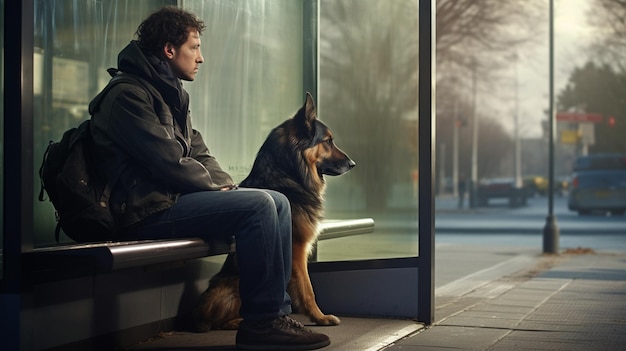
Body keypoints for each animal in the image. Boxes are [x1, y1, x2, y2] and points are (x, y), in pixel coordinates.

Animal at [193, 92, 354, 332]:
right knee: (219, 322)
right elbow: (308, 289)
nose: (353, 163)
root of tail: (197, 313)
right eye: (328, 141)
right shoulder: (297, 249)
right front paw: (320, 317)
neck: (288, 175)